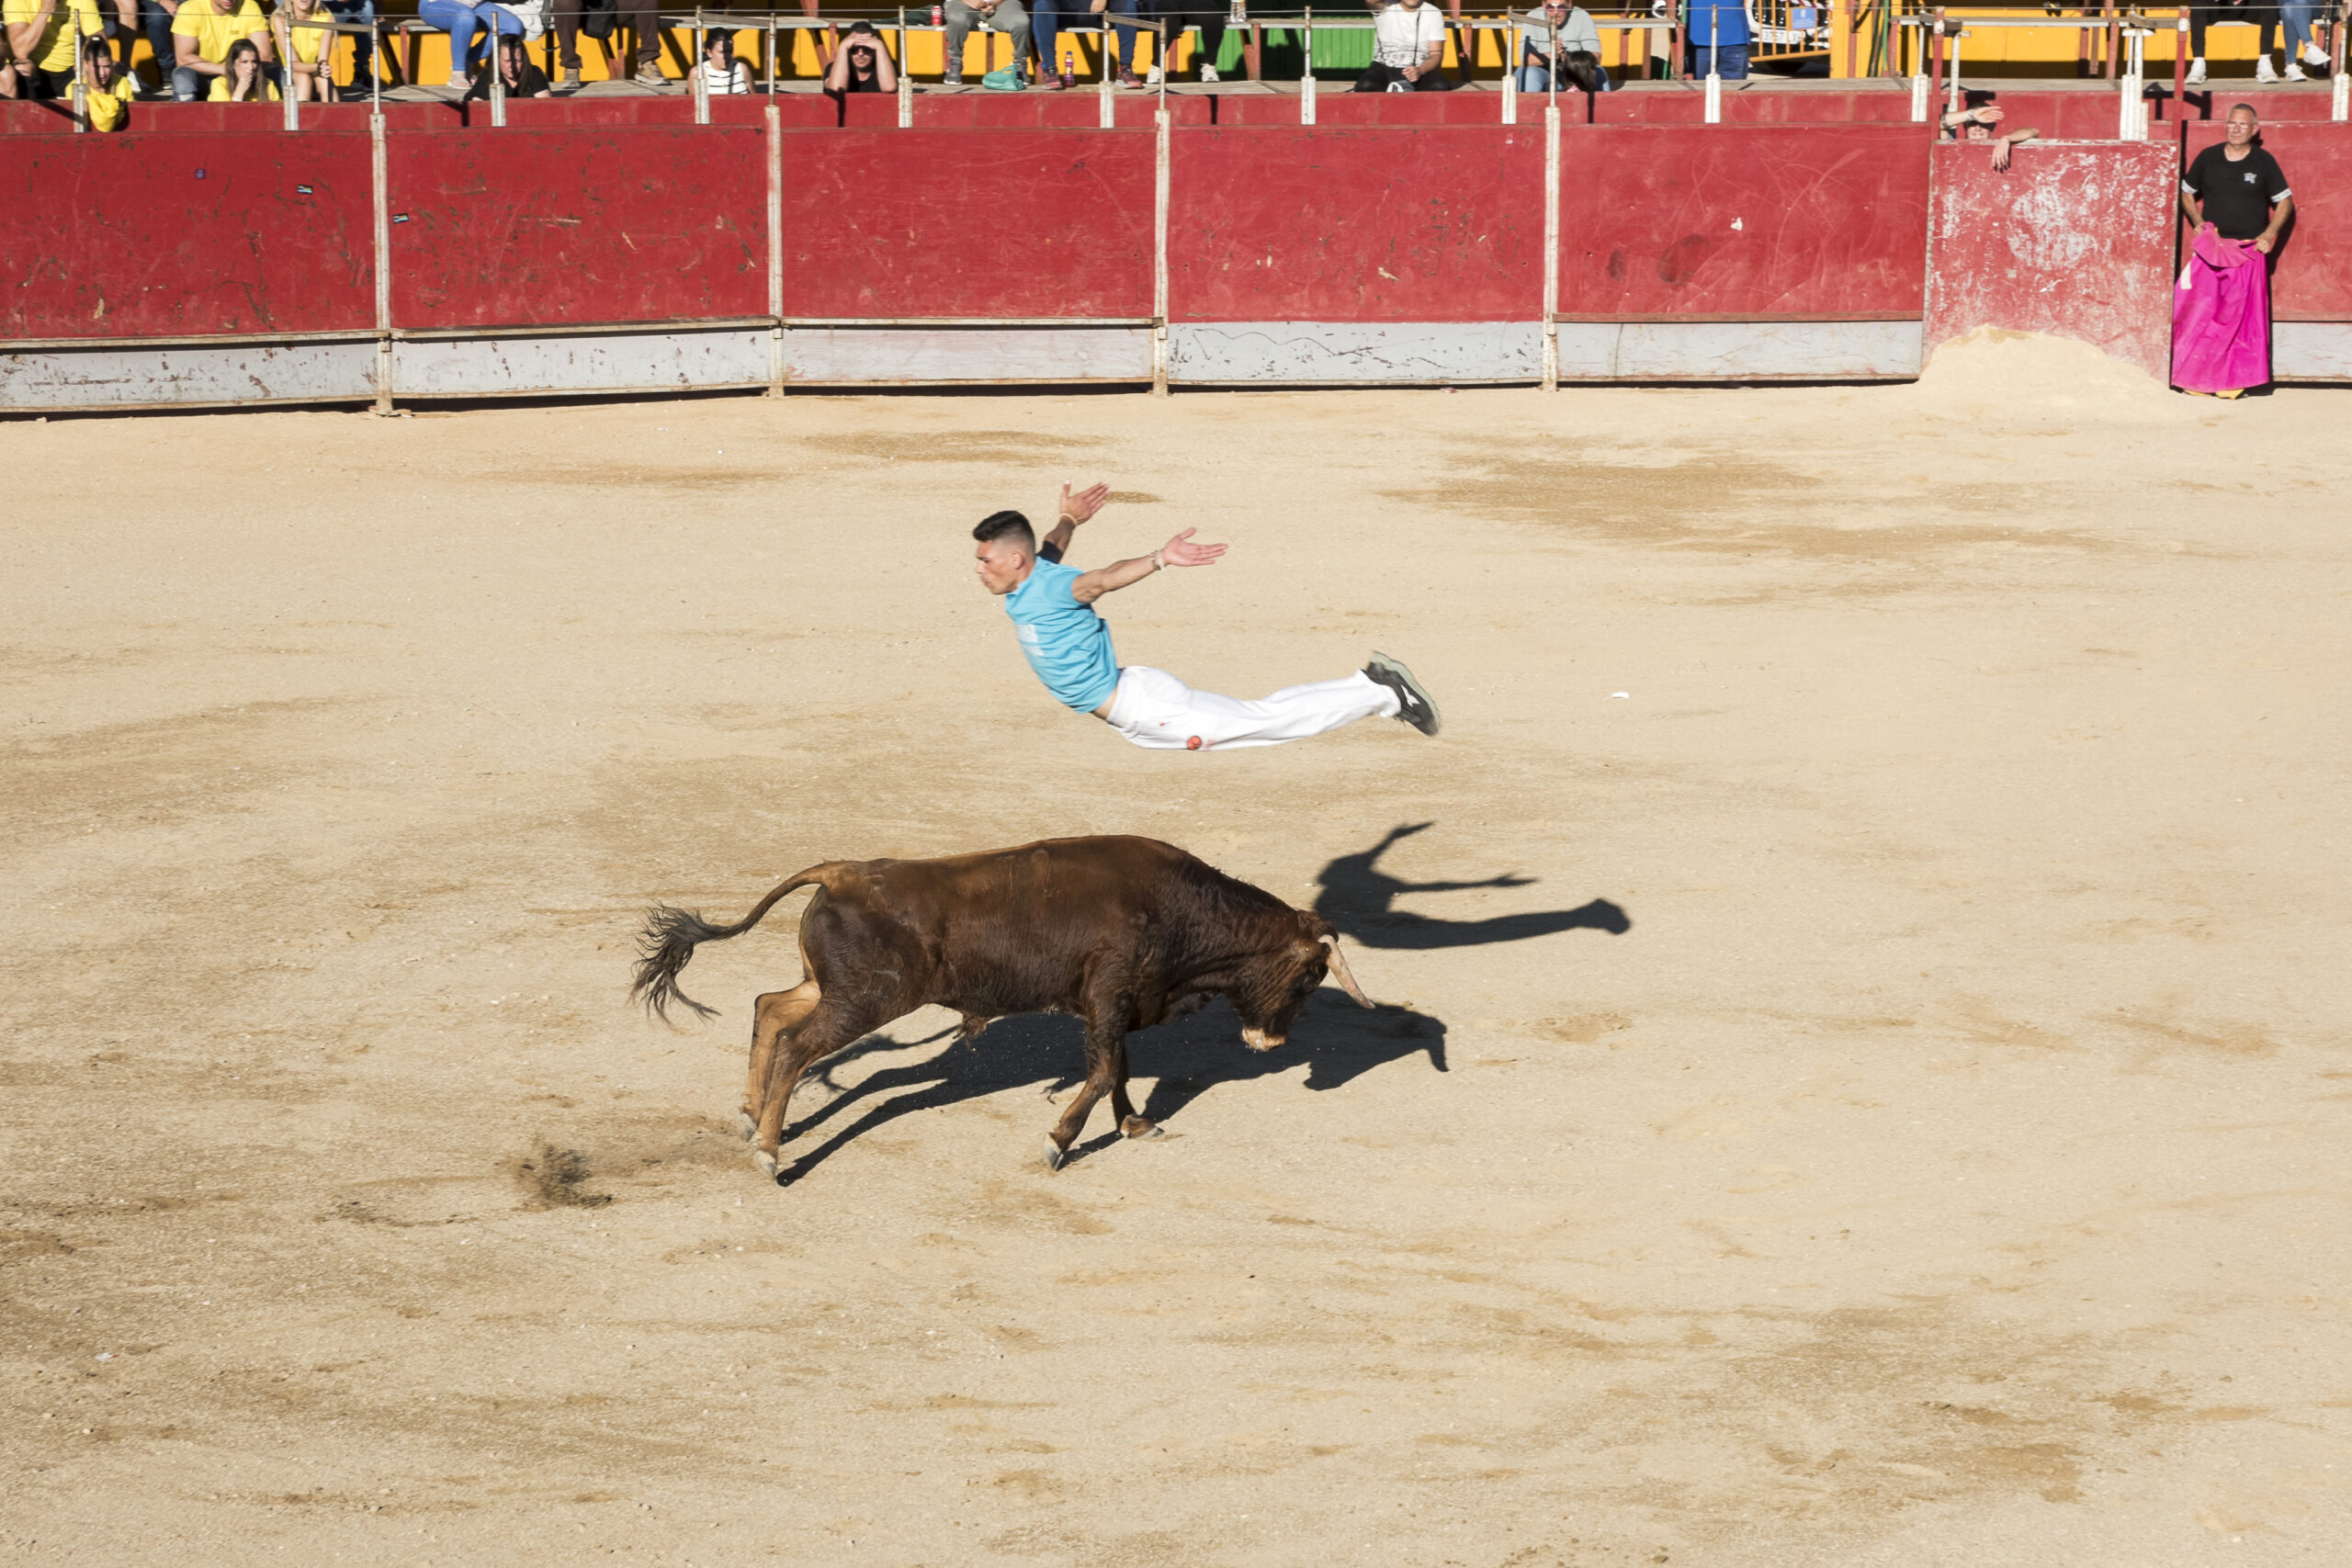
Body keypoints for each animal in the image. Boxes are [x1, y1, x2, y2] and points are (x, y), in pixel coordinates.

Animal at [630, 831, 1374, 1175]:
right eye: (1312, 976)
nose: (1272, 1043)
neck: (1184, 912)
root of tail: (839, 871)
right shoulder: (1109, 1000)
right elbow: (1105, 1070)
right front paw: (1057, 1142)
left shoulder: (1114, 1011)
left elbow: (1120, 1072)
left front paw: (1136, 1125)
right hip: (867, 999)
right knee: (796, 1042)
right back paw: (769, 1150)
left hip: (832, 987)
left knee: (770, 1008)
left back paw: (750, 1115)